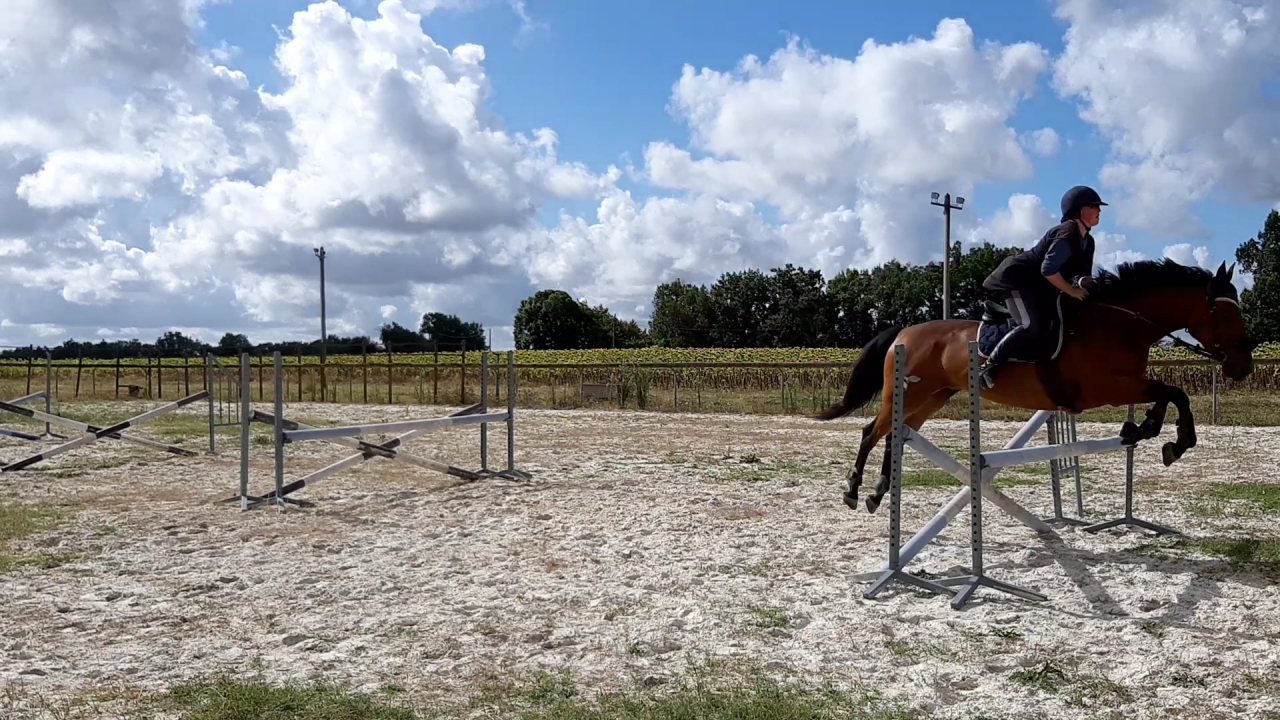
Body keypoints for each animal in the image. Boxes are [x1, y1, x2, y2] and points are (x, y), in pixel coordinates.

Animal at [814, 259, 1255, 514]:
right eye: (1224, 313)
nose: (1244, 366)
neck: (1118, 324)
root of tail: (904, 331)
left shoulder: (1129, 383)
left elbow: (1167, 395)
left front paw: (1146, 429)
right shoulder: (1102, 389)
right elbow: (1175, 393)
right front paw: (1176, 442)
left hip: (932, 397)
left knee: (896, 435)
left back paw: (878, 492)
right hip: (908, 393)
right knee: (872, 431)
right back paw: (854, 490)